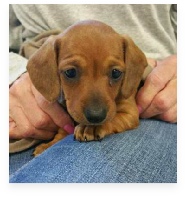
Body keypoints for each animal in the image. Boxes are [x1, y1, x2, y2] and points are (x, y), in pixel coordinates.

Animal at [26, 20, 147, 155]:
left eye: (116, 73)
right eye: (70, 72)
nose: (96, 117)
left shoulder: (130, 114)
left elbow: (114, 118)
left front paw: (90, 128)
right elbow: (62, 130)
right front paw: (49, 144)